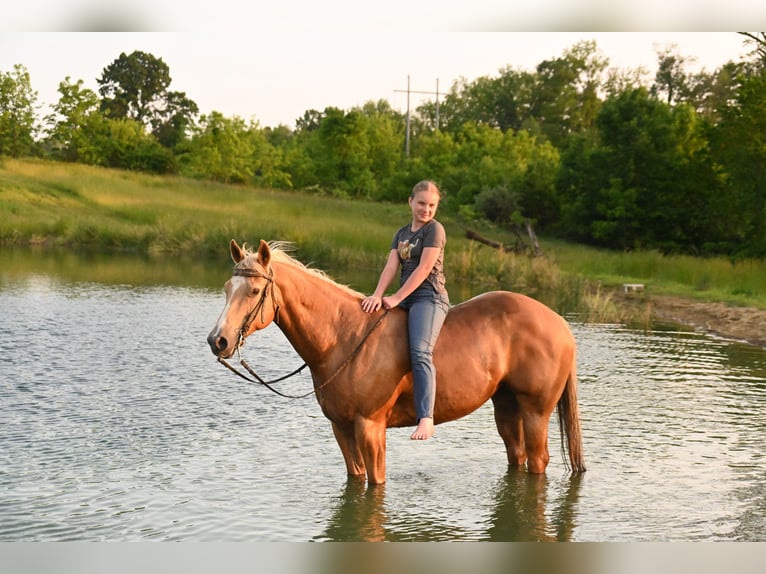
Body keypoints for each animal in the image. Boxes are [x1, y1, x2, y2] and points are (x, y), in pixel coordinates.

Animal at [207, 239, 585, 485]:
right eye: (226, 288)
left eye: (254, 291)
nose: (218, 341)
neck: (343, 337)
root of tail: (559, 324)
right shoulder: (341, 428)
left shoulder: (370, 428)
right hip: (506, 407)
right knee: (517, 457)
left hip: (536, 411)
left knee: (538, 461)